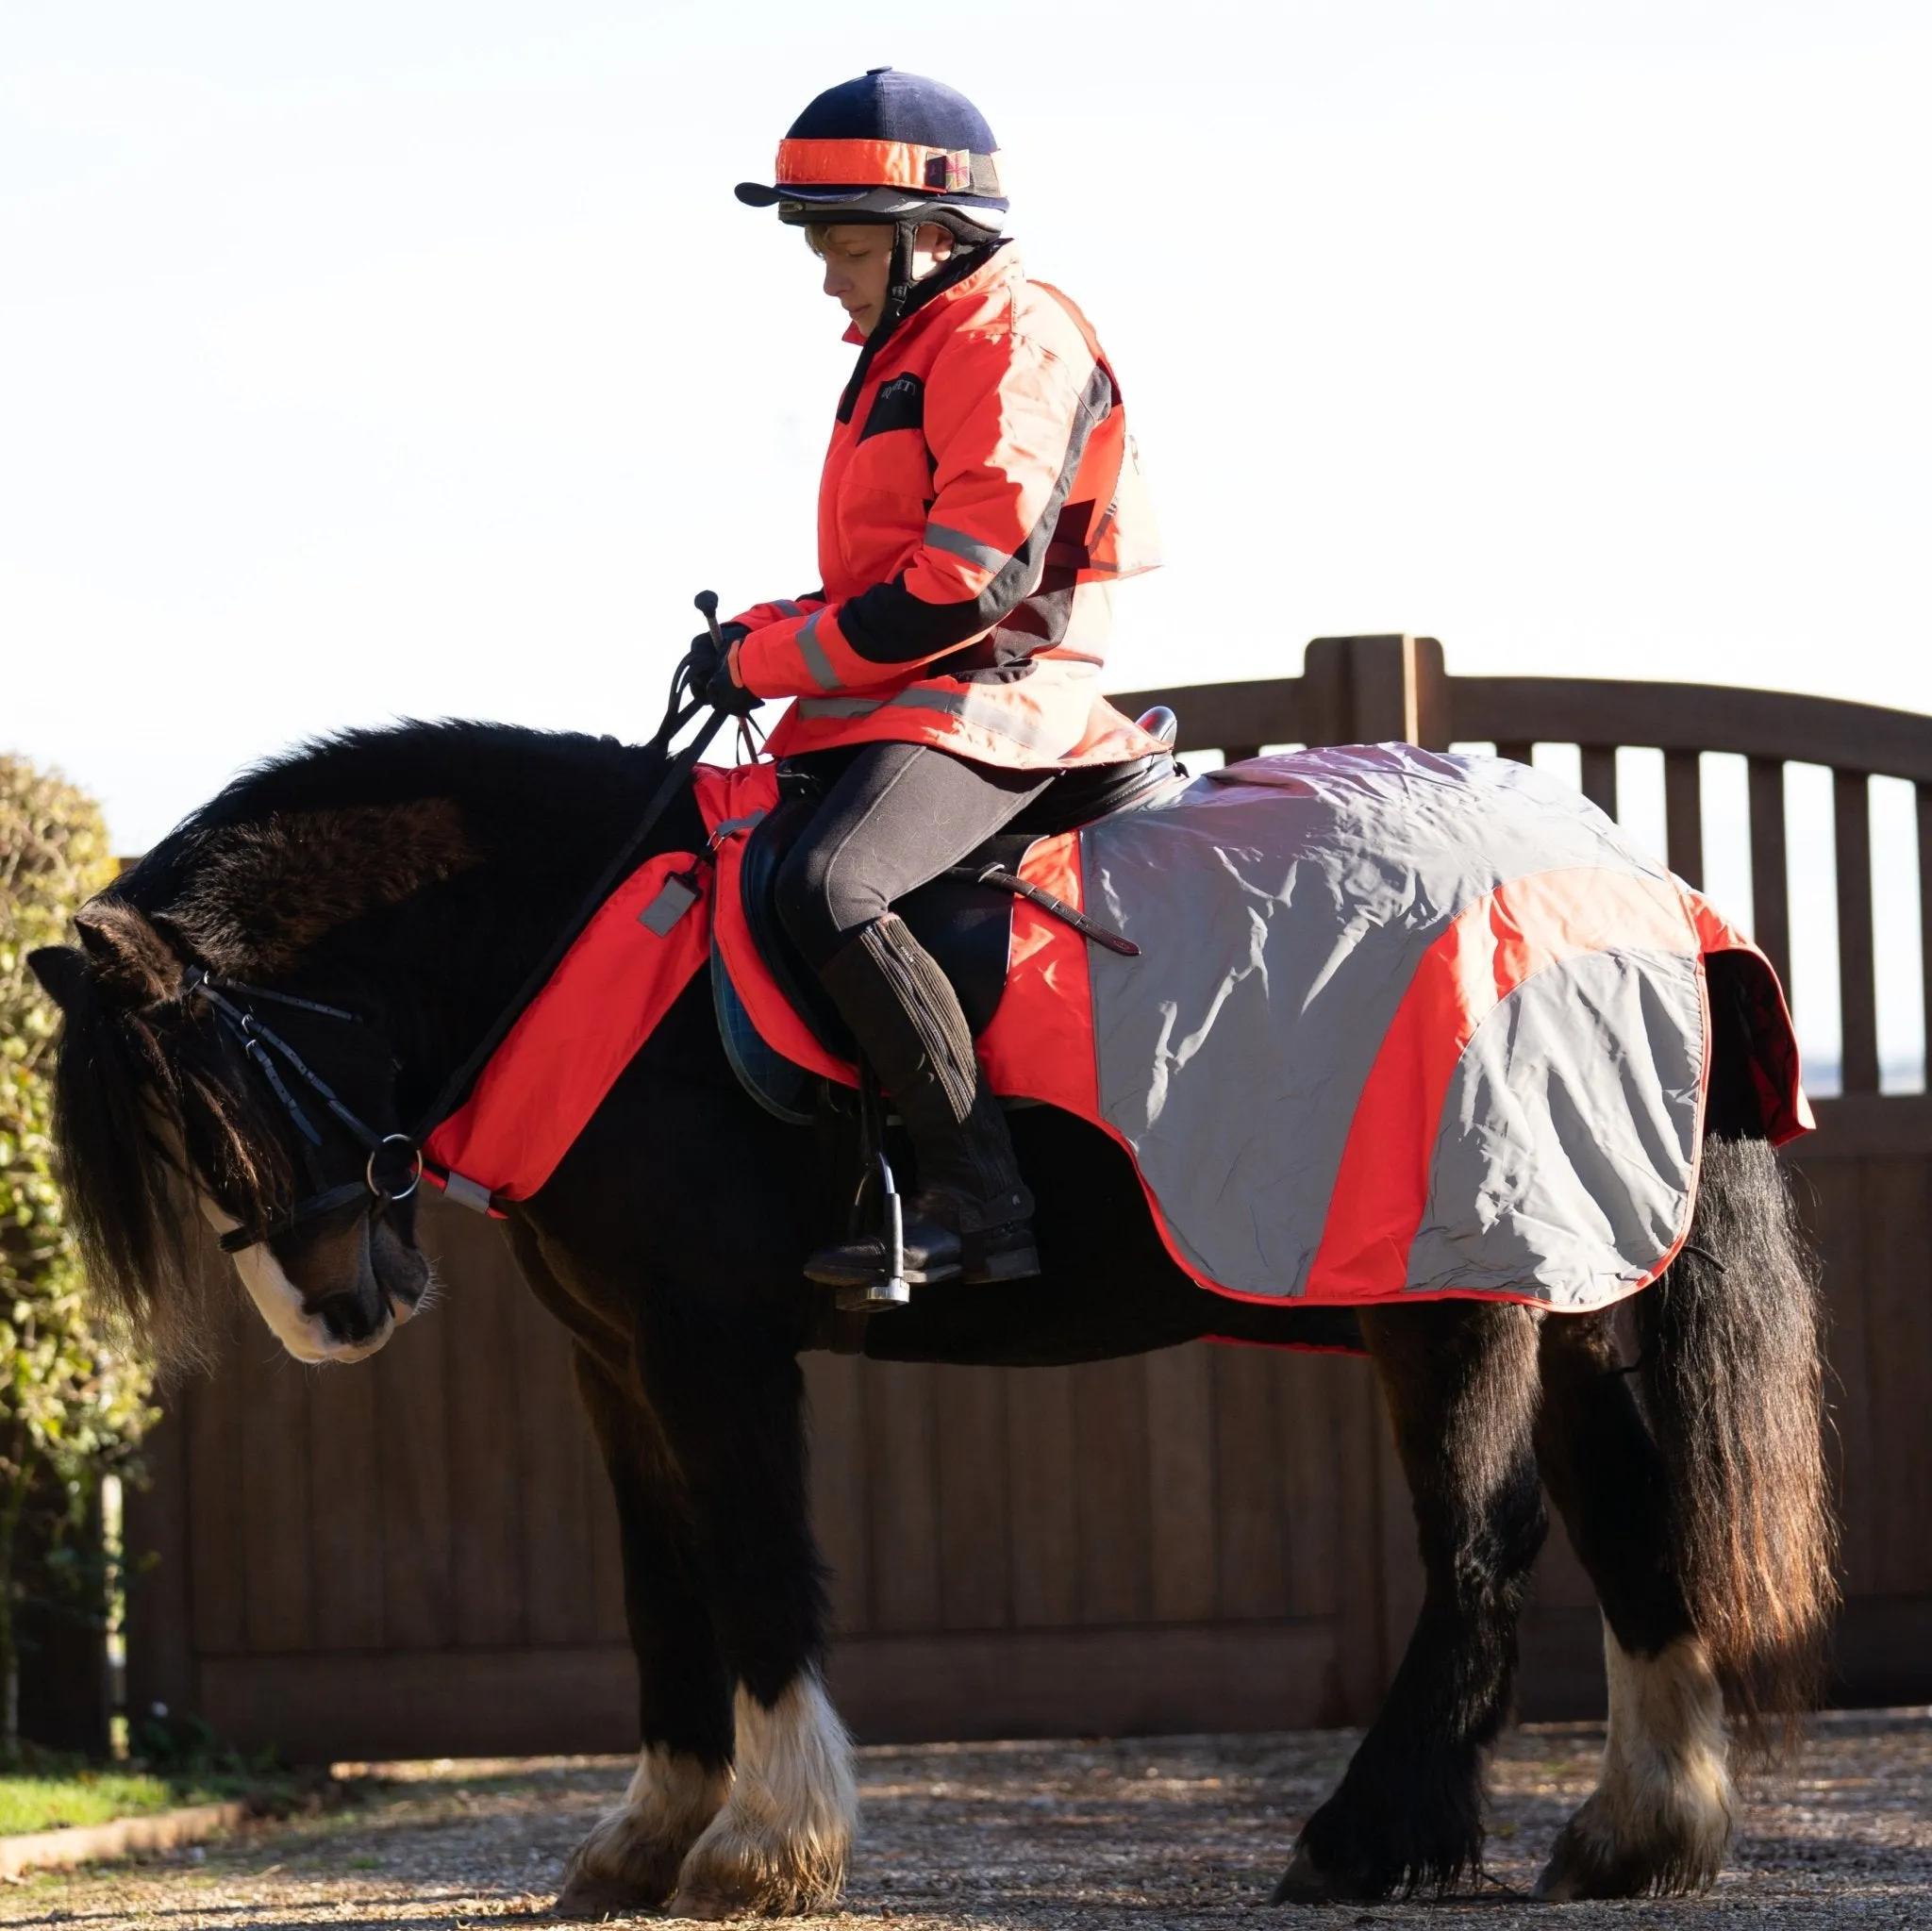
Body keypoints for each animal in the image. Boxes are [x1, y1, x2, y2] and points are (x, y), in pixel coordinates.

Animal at [37, 718, 1831, 1907]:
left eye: (208, 1105)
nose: (330, 1313)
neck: (596, 953)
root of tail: (1645, 889)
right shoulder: (616, 1359)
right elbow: (661, 1588)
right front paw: (645, 1832)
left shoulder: (711, 1345)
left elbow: (755, 1564)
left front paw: (766, 1843)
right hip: (1568, 1285)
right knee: (1630, 1517)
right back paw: (1637, 1829)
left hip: (1448, 1291)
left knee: (1485, 1537)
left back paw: (1377, 1834)